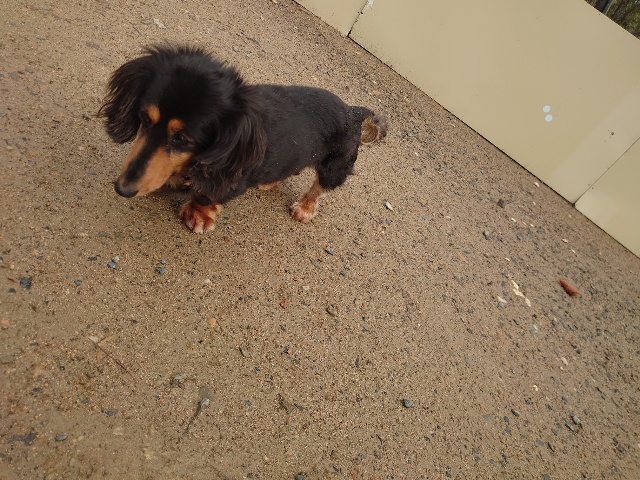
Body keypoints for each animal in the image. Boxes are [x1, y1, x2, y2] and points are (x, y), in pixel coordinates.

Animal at [98, 45, 387, 233]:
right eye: (144, 119)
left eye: (182, 138)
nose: (122, 189)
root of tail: (352, 111)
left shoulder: (229, 179)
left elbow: (206, 195)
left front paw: (198, 214)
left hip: (334, 166)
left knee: (320, 188)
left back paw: (304, 208)